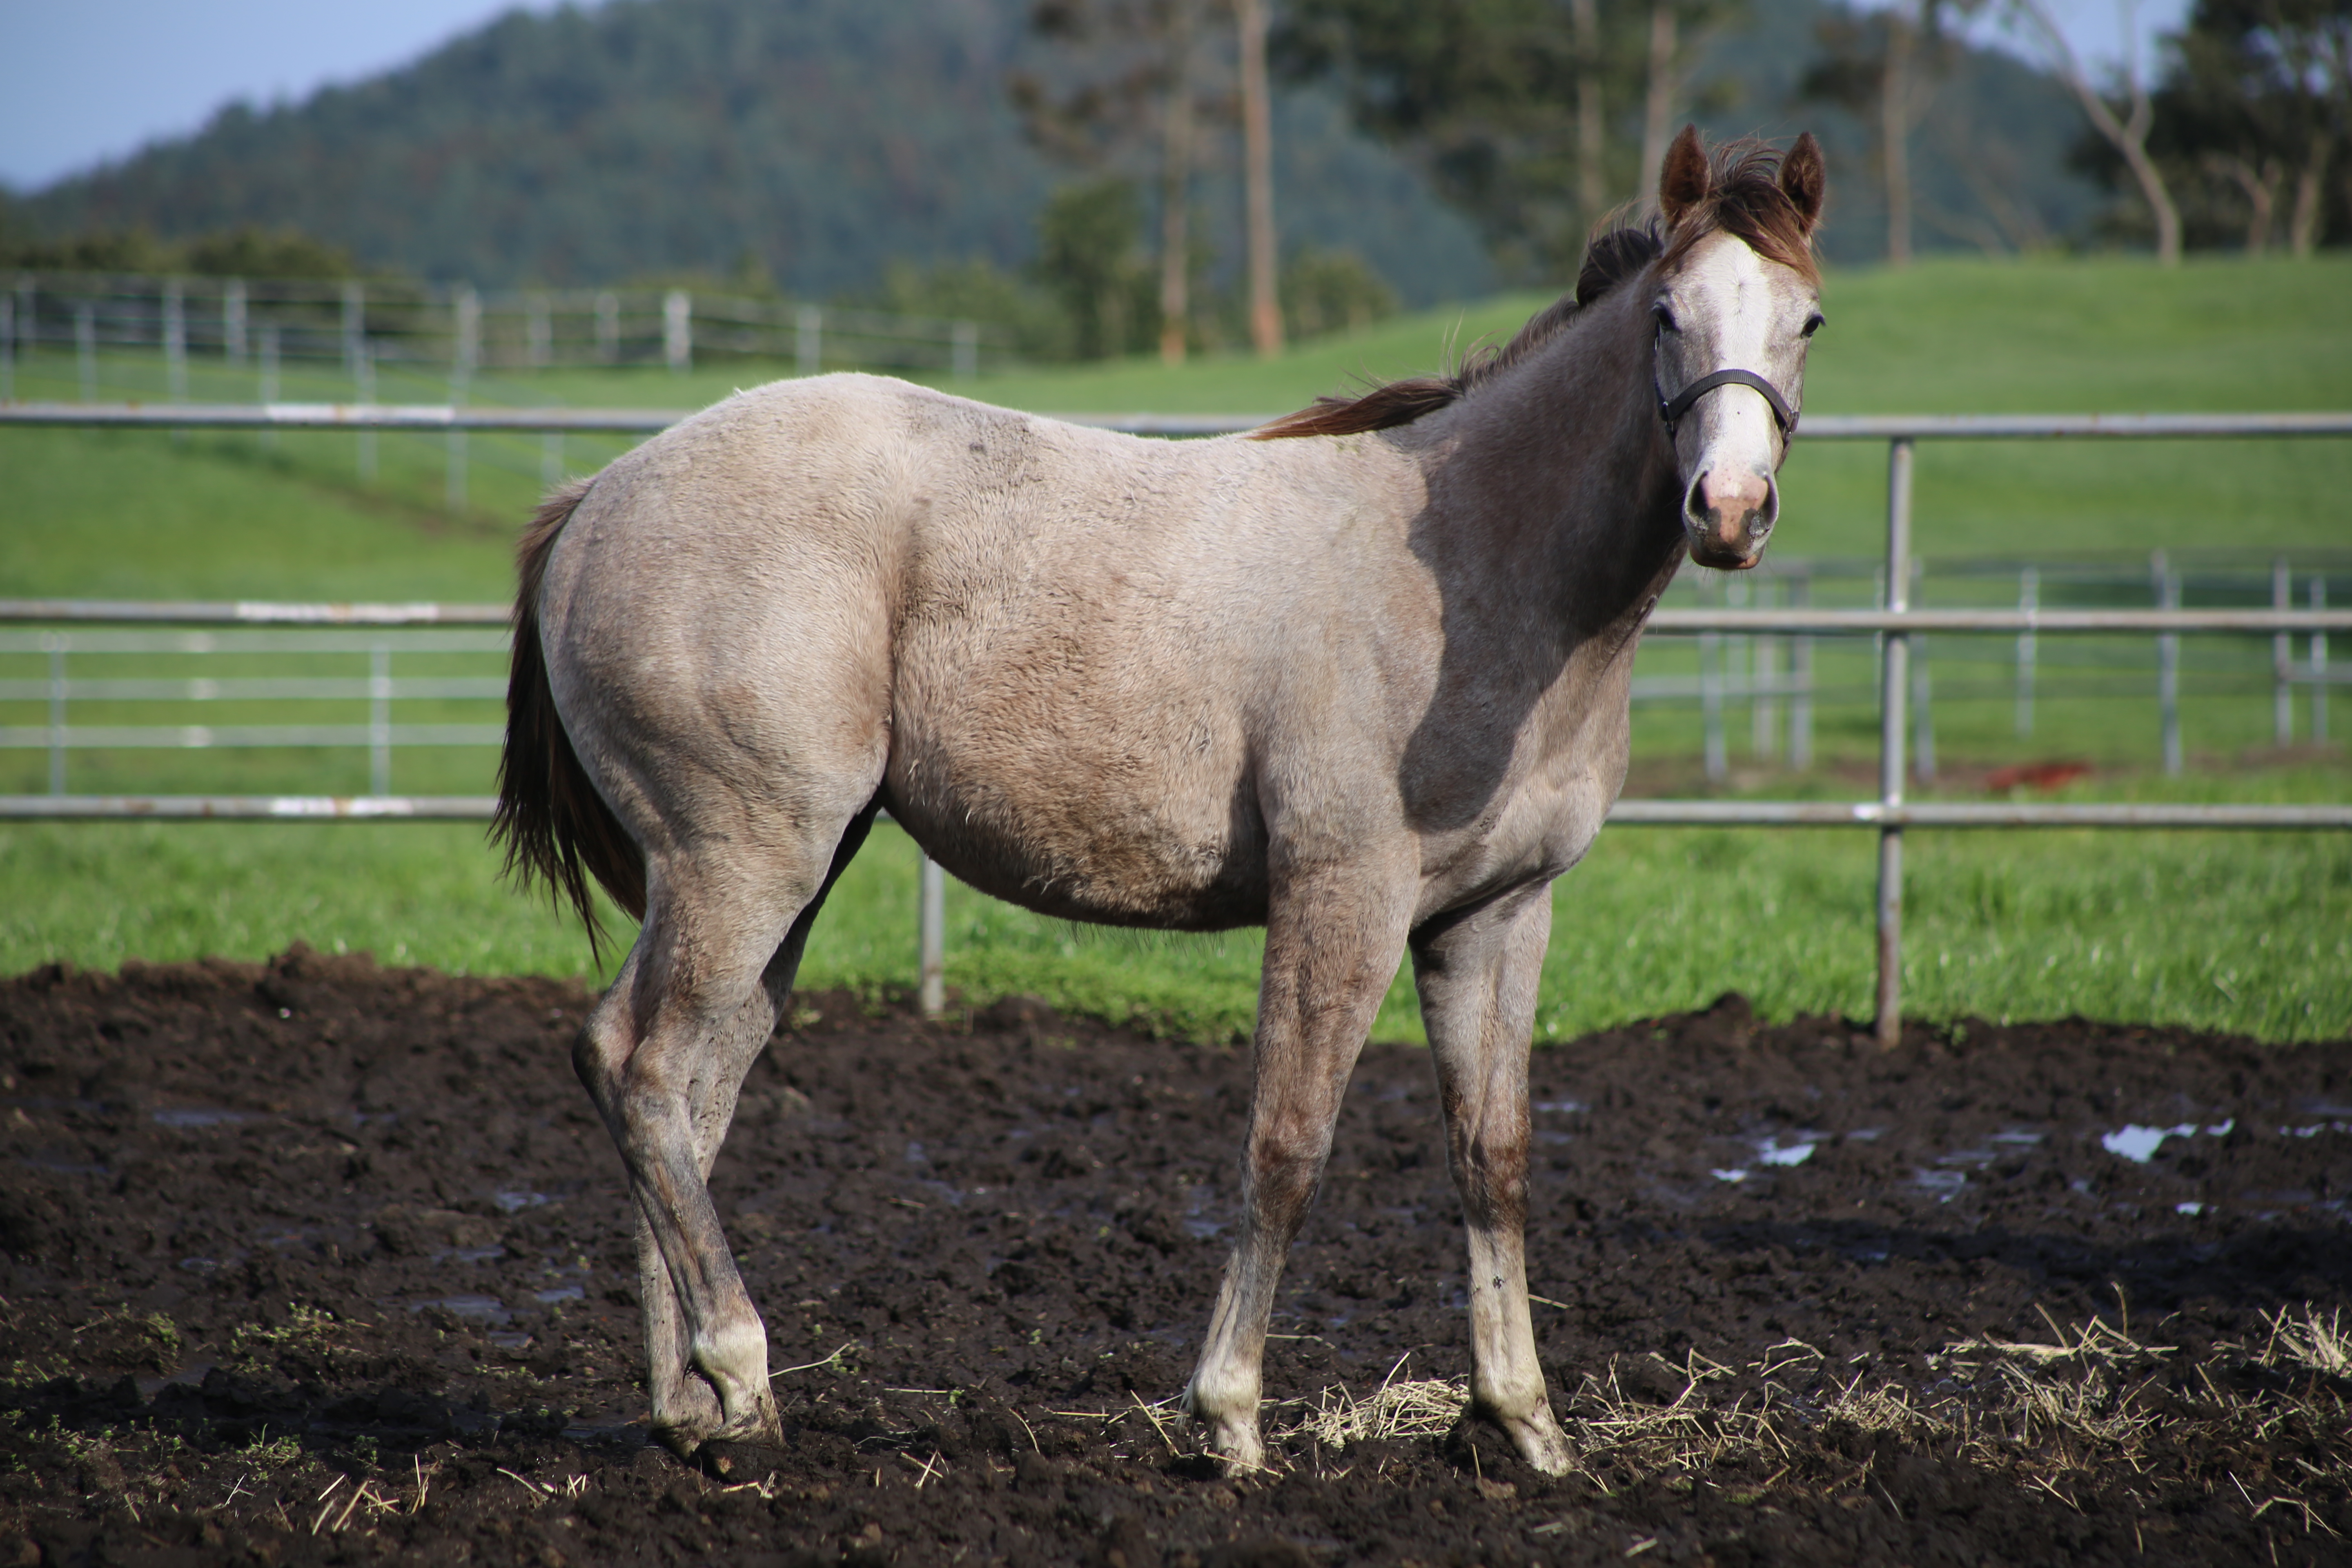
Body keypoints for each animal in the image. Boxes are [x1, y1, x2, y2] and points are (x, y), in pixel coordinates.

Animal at [491, 126, 1815, 1486]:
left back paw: (691, 1405)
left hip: (778, 877)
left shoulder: (1497, 916)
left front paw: (1526, 1420)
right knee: (641, 1069)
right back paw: (740, 1371)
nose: (1728, 510)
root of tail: (597, 500)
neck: (1477, 571)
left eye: (1806, 321)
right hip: (744, 860)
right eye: (1665, 312)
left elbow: (1491, 1159)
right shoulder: (1343, 896)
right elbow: (1288, 1145)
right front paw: (1227, 1413)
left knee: (692, 1099)